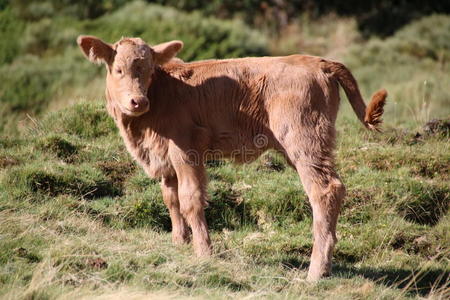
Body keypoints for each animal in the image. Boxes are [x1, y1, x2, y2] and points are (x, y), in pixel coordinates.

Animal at [77, 35, 386, 282]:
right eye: (118, 69)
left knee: (325, 190)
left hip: (304, 139)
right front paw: (179, 242)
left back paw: (316, 271)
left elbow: (190, 199)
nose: (138, 101)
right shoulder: (164, 156)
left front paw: (203, 252)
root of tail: (318, 61)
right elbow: (171, 198)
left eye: (149, 70)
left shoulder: (186, 148)